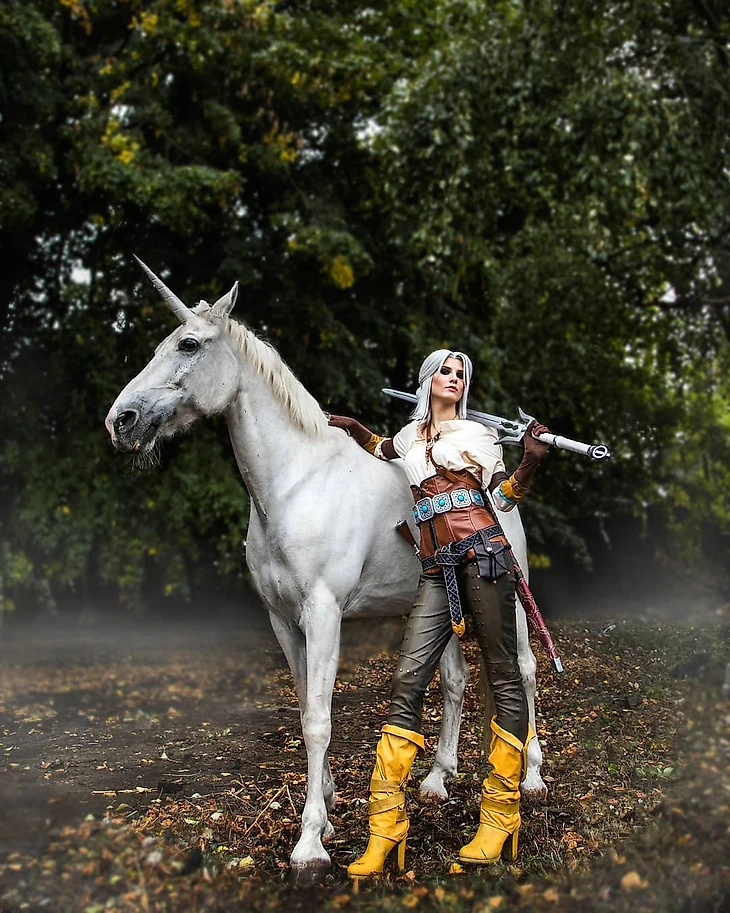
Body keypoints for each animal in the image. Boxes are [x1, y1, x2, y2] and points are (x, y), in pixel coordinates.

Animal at [105, 260, 546, 884]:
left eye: (188, 344)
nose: (121, 421)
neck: (295, 485)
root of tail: (497, 486)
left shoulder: (324, 614)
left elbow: (319, 718)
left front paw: (311, 842)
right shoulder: (283, 619)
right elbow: (304, 706)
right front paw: (331, 808)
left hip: (510, 597)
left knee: (526, 671)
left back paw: (531, 778)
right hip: (435, 604)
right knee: (456, 679)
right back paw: (437, 780)